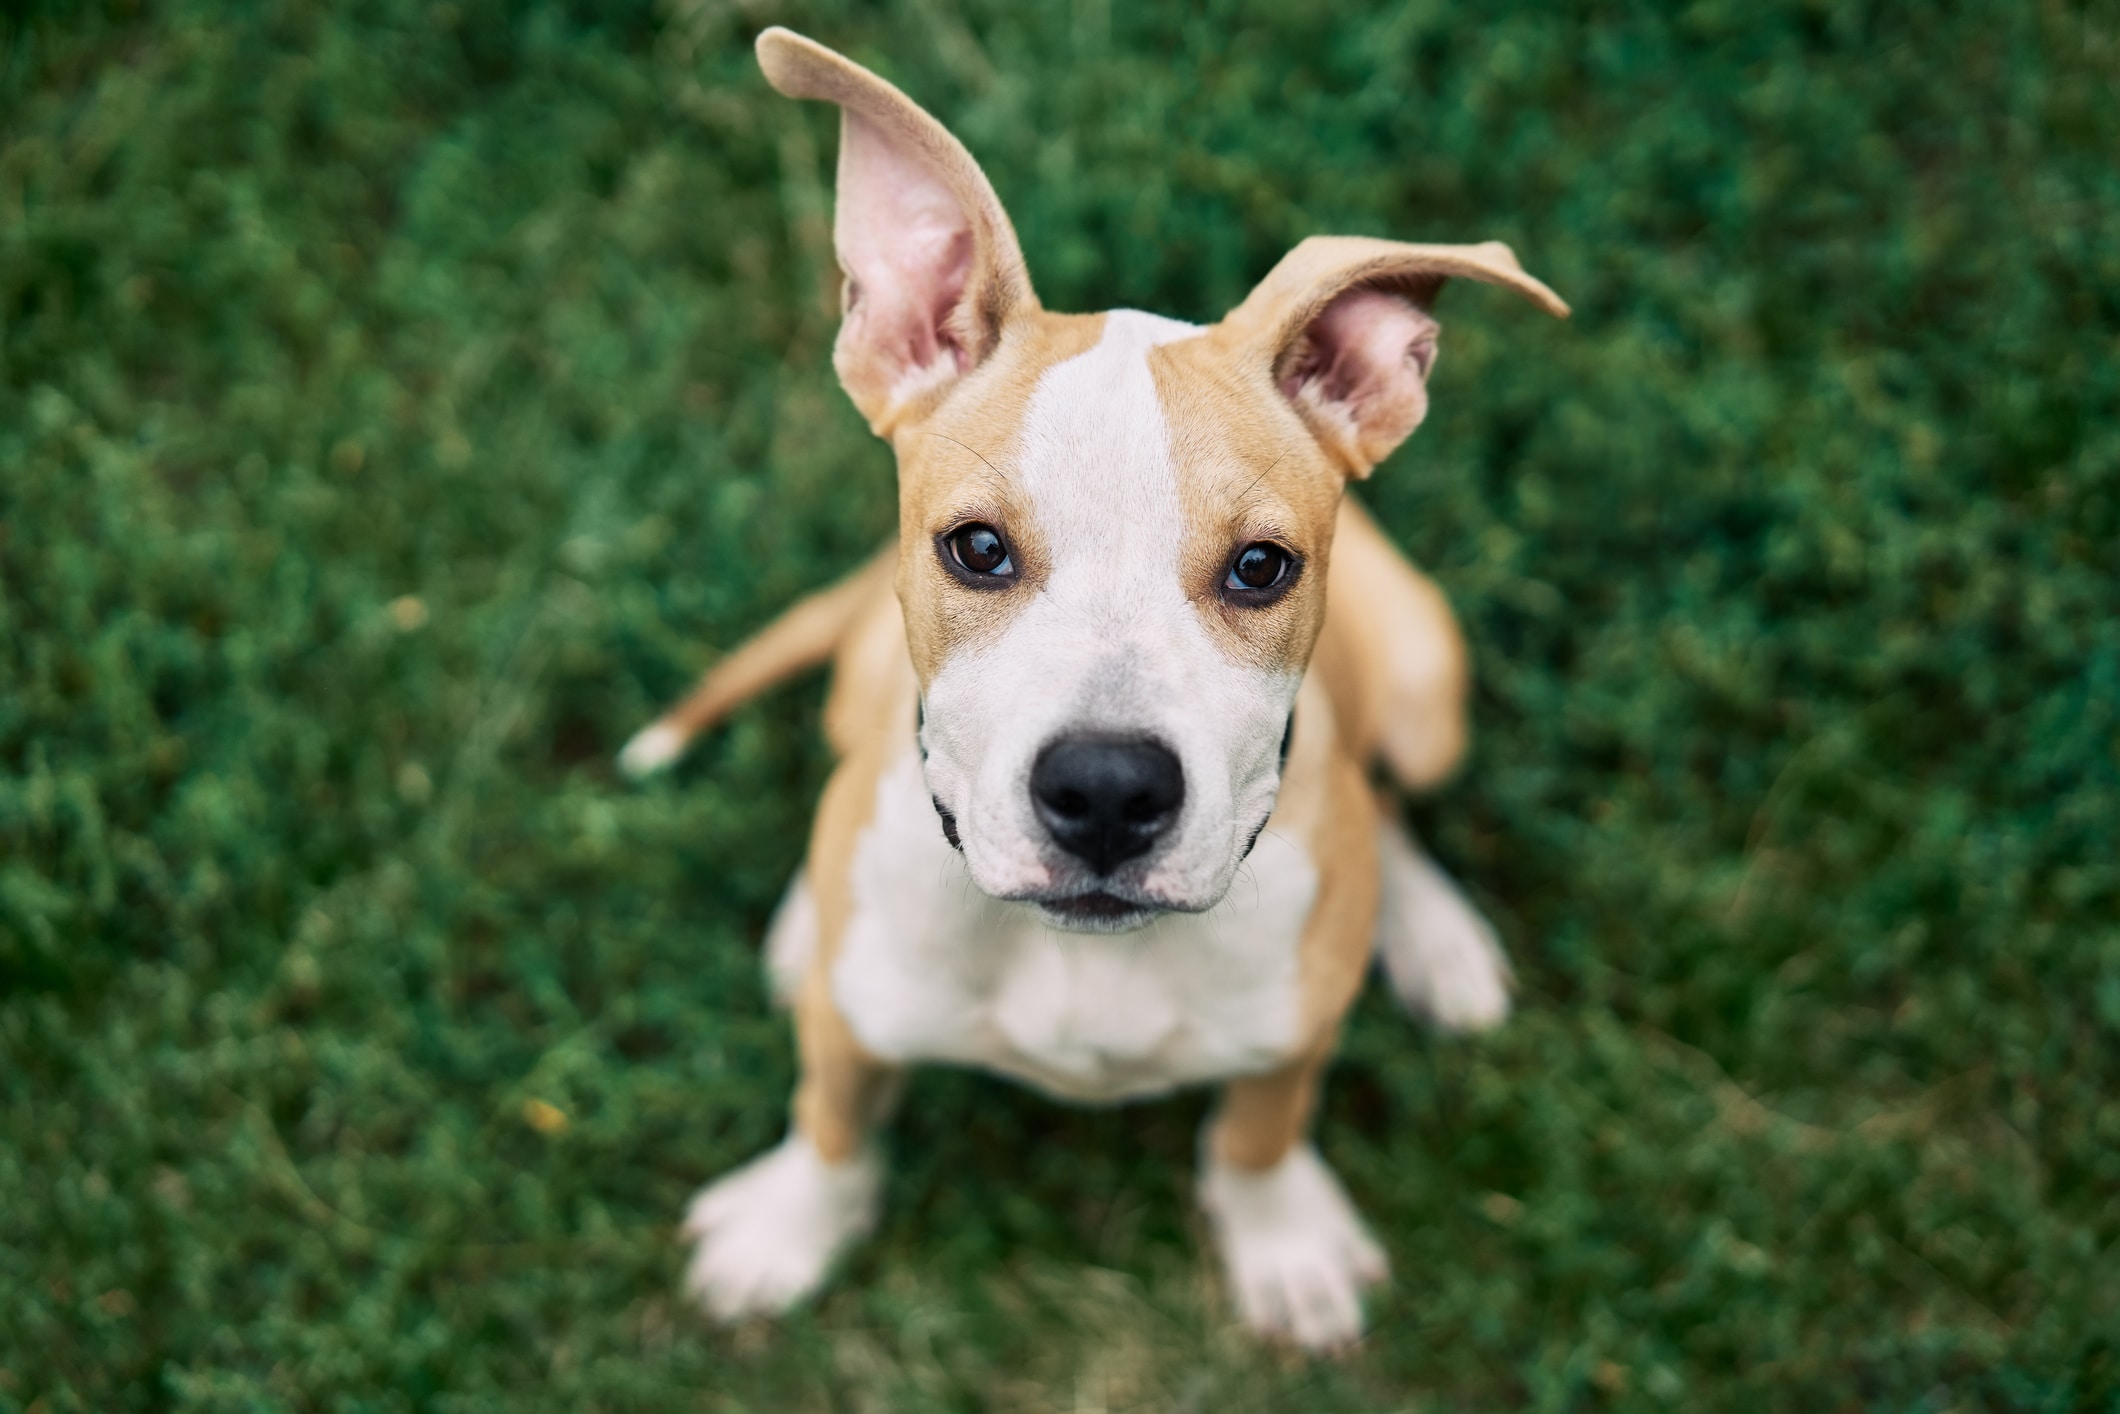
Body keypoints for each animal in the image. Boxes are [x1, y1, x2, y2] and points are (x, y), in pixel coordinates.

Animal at [619, 24, 1568, 1348]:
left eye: (1261, 567)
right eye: (976, 548)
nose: (1109, 792)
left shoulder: (1287, 1039)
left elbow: (1259, 1129)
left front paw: (1282, 1242)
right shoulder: (851, 1035)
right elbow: (834, 1113)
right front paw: (787, 1226)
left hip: (1430, 679)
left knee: (1386, 793)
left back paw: (1428, 932)